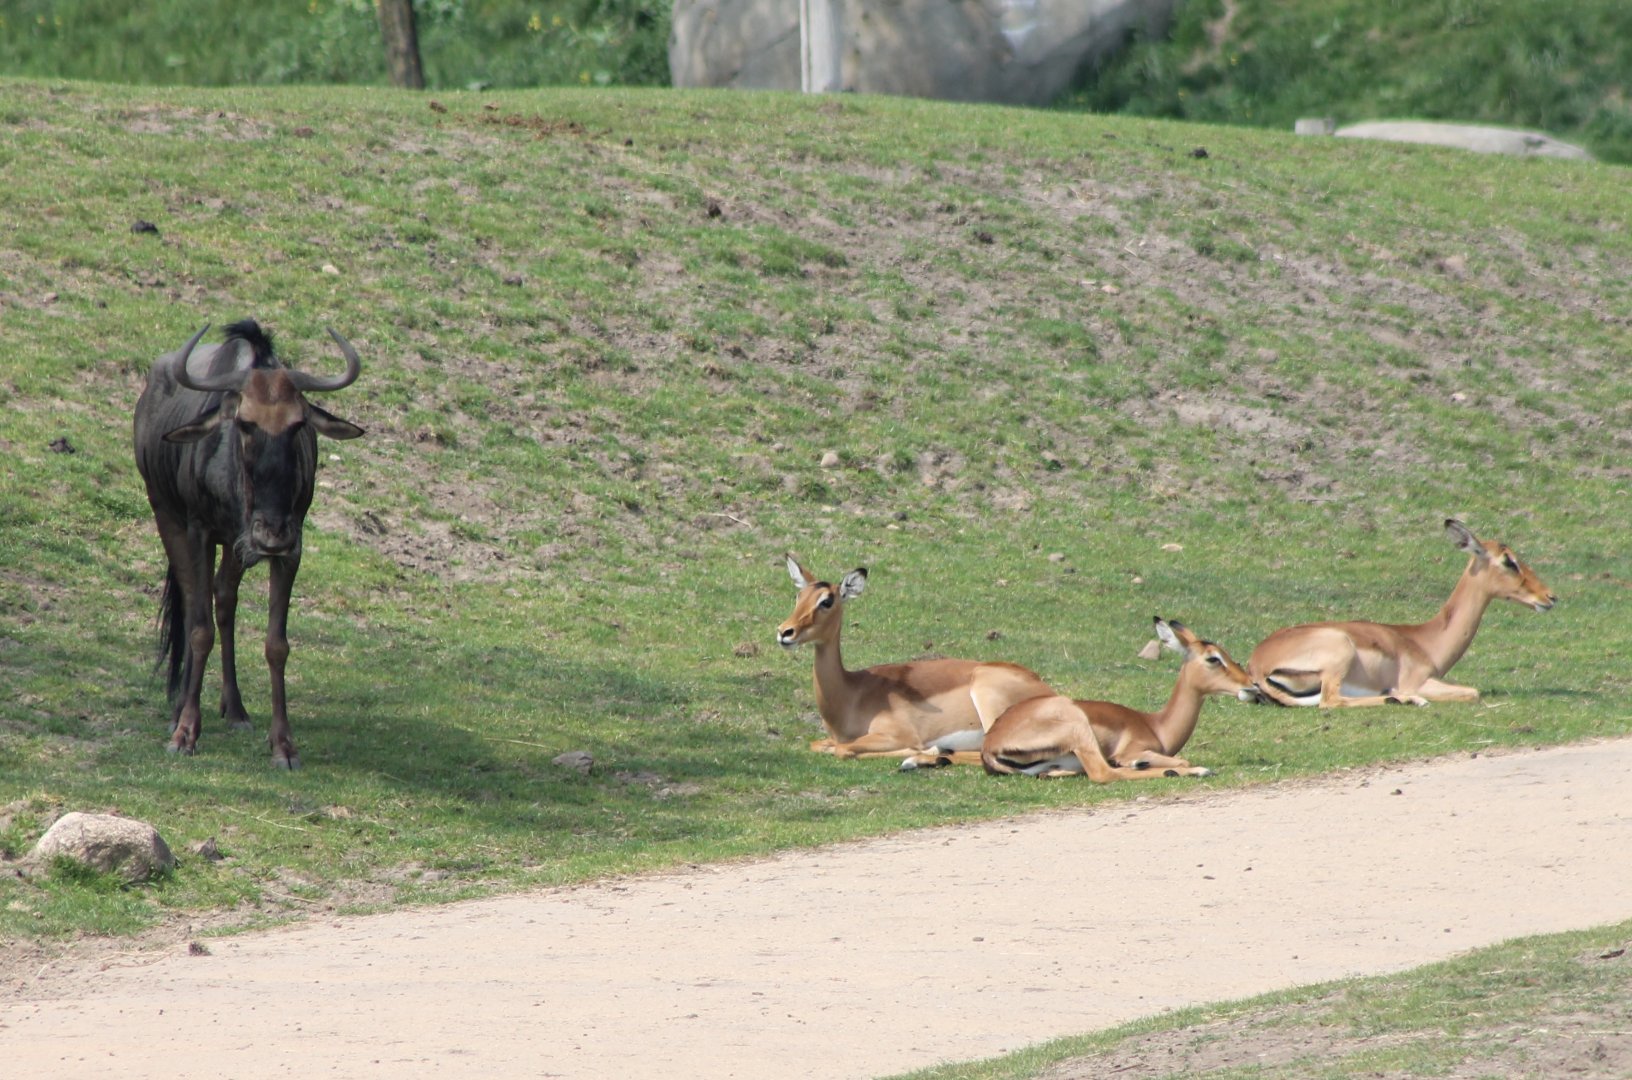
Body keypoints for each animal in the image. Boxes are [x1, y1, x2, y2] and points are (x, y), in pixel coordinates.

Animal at [776, 556, 1056, 759]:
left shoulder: (896, 735)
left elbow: (844, 749)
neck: (851, 694)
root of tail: (1047, 691)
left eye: (827, 601)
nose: (784, 632)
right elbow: (821, 745)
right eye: (800, 595)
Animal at [904, 617, 1251, 780]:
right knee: (1105, 773)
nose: (1251, 685)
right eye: (1213, 658)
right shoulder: (1133, 748)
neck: (1157, 725)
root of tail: (993, 743)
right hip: (1078, 730)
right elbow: (1176, 759)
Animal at [1248, 519, 1555, 708]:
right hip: (1339, 657)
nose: (1550, 597)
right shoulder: (1418, 680)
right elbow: (1472, 692)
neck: (1424, 640)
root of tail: (1258, 662)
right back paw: (1401, 699)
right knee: (1331, 702)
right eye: (1509, 561)